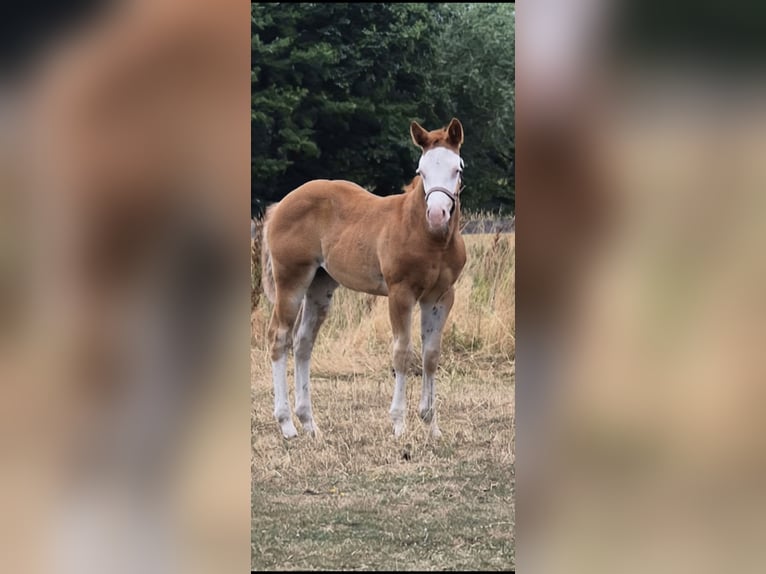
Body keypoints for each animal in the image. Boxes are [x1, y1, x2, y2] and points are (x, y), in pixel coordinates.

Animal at [261, 118, 467, 439]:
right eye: (420, 171)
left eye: (457, 168)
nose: (436, 215)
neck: (430, 238)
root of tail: (280, 204)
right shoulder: (401, 293)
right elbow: (402, 352)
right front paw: (399, 424)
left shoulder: (441, 296)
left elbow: (431, 355)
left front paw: (432, 425)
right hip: (291, 282)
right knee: (279, 338)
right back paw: (287, 425)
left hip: (319, 285)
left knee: (303, 342)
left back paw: (309, 423)